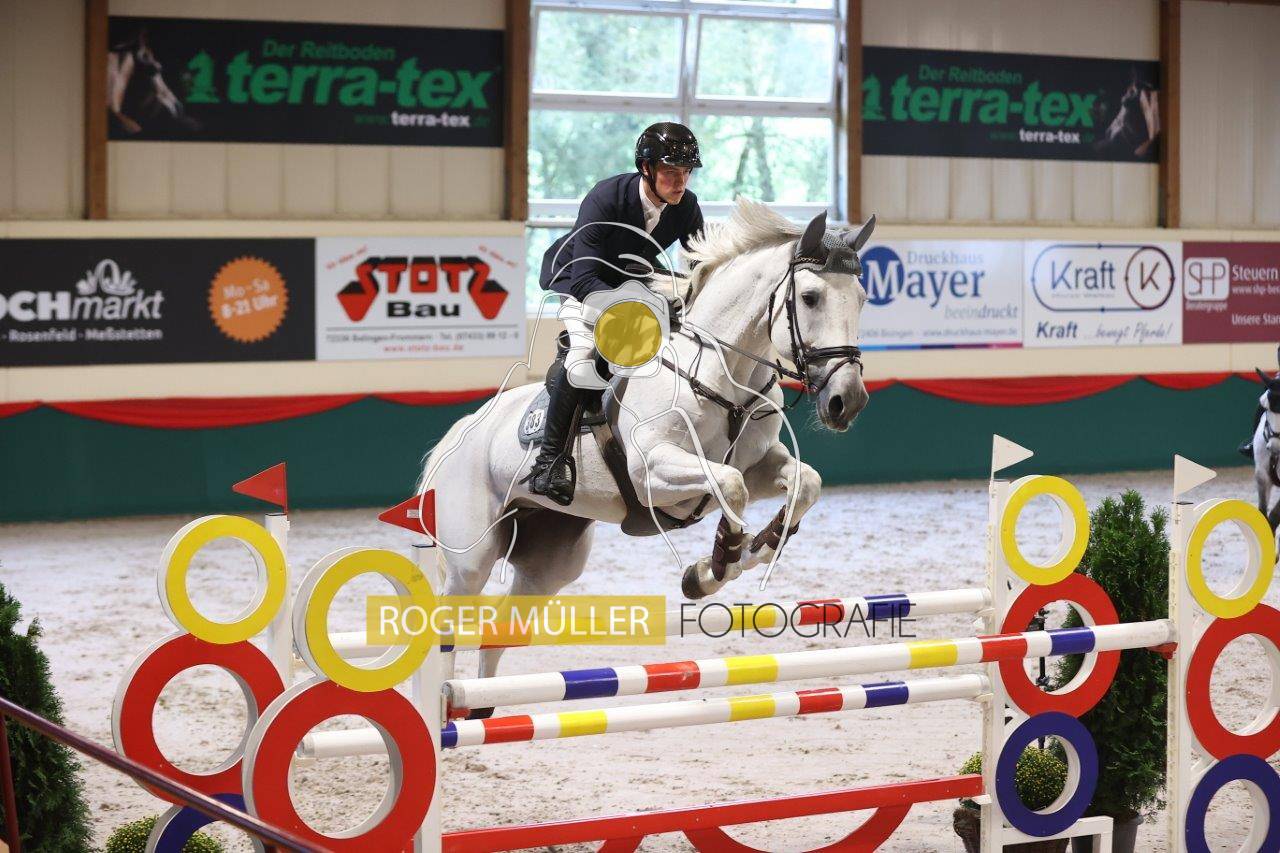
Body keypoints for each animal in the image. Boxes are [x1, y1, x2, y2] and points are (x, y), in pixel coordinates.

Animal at [417, 199, 873, 697]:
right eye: (810, 297)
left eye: (862, 299)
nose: (847, 402)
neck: (720, 376)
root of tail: (456, 436)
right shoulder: (653, 473)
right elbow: (730, 487)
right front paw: (716, 567)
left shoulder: (760, 465)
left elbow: (804, 482)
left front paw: (757, 548)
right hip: (470, 559)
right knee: (444, 625)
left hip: (549, 564)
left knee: (500, 632)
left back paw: (482, 706)